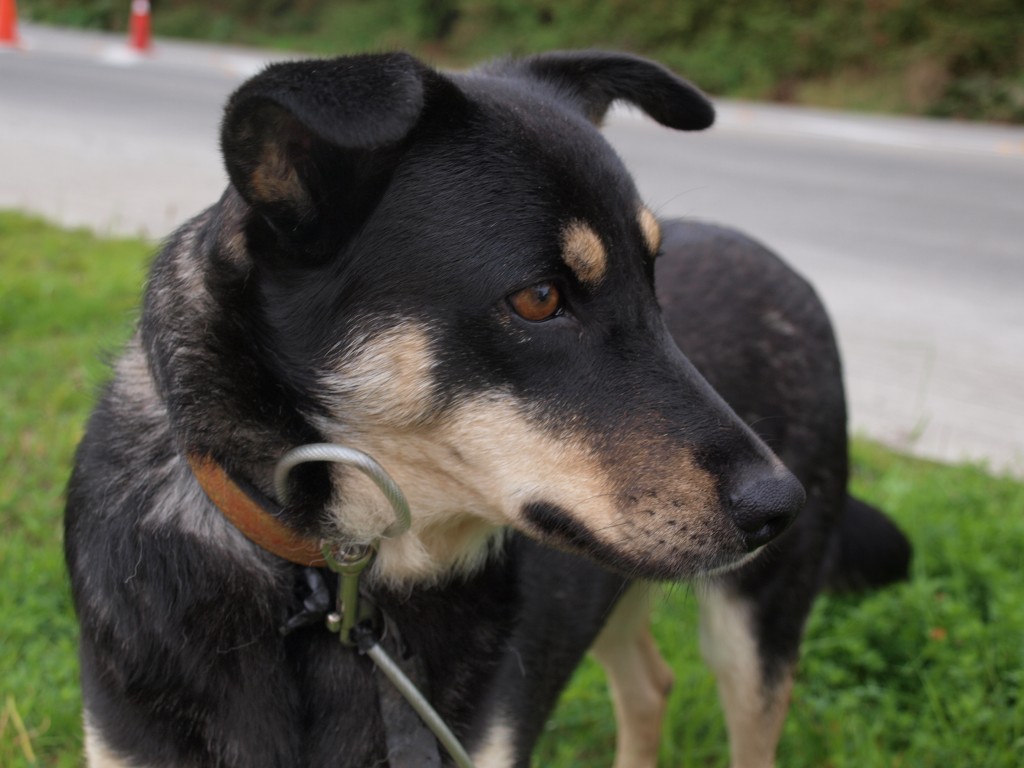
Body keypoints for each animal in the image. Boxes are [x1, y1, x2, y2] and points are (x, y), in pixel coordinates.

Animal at [65, 50, 910, 767]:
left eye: (654, 279)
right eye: (539, 298)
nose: (782, 506)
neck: (328, 584)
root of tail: (783, 267)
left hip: (754, 633)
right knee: (650, 684)